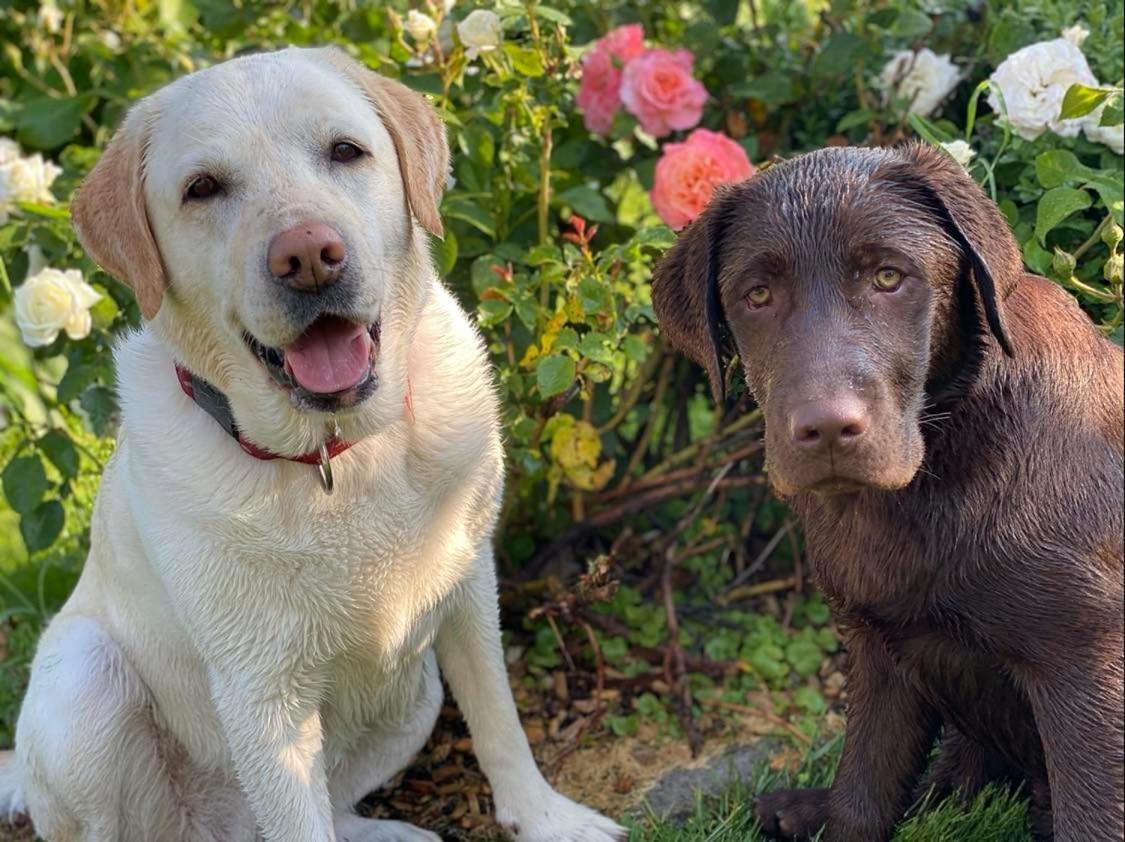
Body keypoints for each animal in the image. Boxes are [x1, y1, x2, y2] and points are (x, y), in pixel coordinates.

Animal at [0, 49, 625, 841]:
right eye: (202, 188)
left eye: (345, 151)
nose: (308, 256)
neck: (336, 458)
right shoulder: (260, 691)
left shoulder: (467, 584)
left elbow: (498, 717)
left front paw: (543, 817)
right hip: (83, 681)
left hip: (414, 693)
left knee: (337, 801)